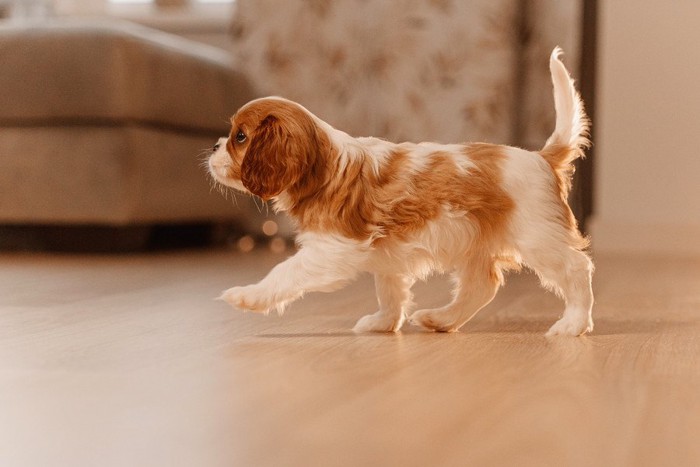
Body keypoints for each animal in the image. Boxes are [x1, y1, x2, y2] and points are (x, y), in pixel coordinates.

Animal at [206, 49, 592, 336]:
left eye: (240, 137)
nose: (213, 146)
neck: (325, 164)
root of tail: (542, 157)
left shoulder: (331, 250)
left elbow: (284, 272)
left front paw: (247, 295)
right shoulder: (385, 255)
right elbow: (389, 291)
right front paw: (384, 323)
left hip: (538, 237)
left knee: (576, 269)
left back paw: (573, 324)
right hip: (476, 245)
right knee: (481, 286)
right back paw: (441, 319)